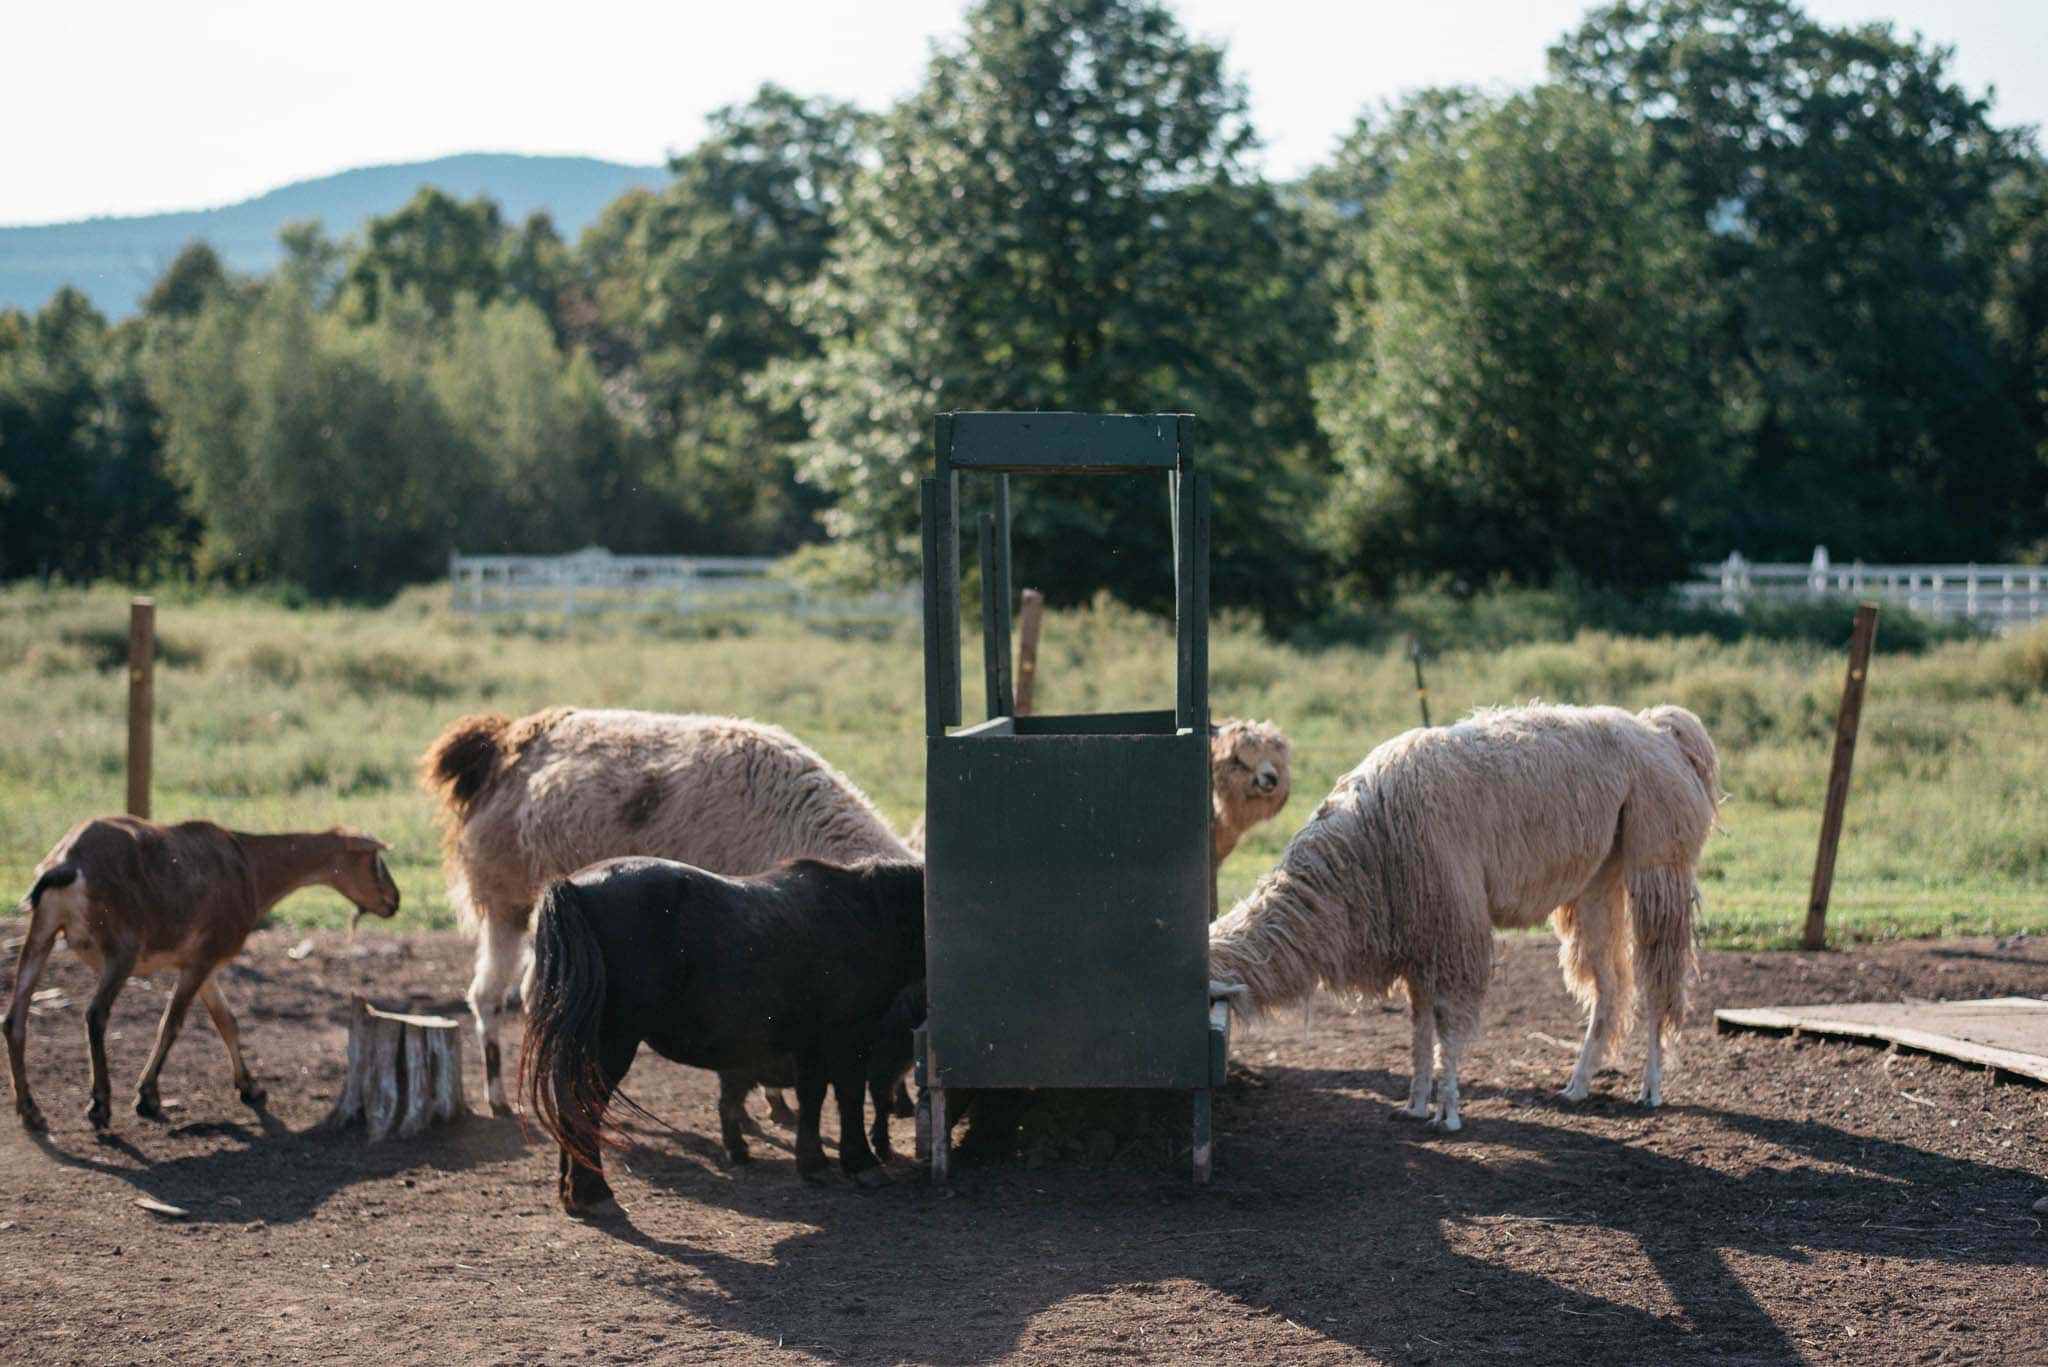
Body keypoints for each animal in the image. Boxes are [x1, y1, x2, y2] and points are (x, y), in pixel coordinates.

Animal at [6, 819, 401, 1131]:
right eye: (374, 860)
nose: (394, 901)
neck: (251, 868)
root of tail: (67, 863)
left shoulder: (202, 964)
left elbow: (227, 1021)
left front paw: (250, 1087)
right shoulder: (202, 958)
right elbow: (172, 1023)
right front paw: (147, 1097)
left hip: (42, 929)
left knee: (13, 1018)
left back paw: (31, 1111)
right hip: (121, 947)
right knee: (95, 1014)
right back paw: (99, 1105)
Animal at [520, 860, 929, 1213]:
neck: (865, 911)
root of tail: (572, 887)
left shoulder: (811, 1043)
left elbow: (812, 1097)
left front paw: (813, 1163)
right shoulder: (848, 1036)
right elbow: (849, 1097)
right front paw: (862, 1162)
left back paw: (573, 1191)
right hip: (609, 1044)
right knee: (582, 1106)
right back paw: (592, 1192)